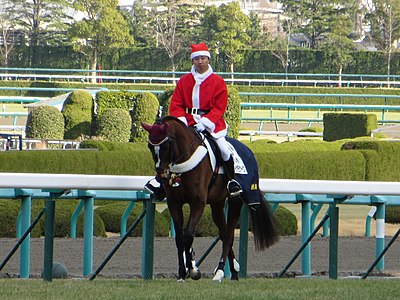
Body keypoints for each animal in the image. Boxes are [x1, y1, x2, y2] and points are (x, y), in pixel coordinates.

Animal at [143, 115, 278, 282]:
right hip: (217, 204)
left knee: (229, 235)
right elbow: (180, 239)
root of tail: (248, 150)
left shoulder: (198, 203)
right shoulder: (174, 203)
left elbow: (188, 236)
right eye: (150, 146)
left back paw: (220, 272)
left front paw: (193, 270)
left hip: (235, 201)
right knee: (224, 234)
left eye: (166, 145)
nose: (162, 175)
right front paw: (182, 273)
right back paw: (234, 270)